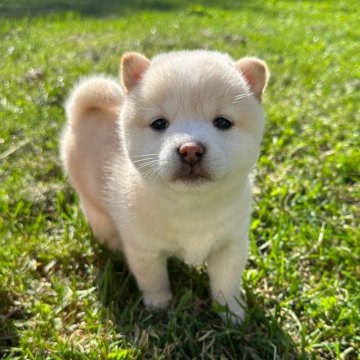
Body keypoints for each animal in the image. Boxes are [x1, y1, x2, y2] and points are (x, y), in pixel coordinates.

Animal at [60, 50, 268, 324]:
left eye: (222, 122)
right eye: (159, 124)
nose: (190, 149)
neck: (192, 207)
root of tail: (83, 112)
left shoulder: (230, 246)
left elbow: (226, 283)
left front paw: (232, 313)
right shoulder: (145, 251)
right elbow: (154, 280)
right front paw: (159, 305)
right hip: (93, 204)